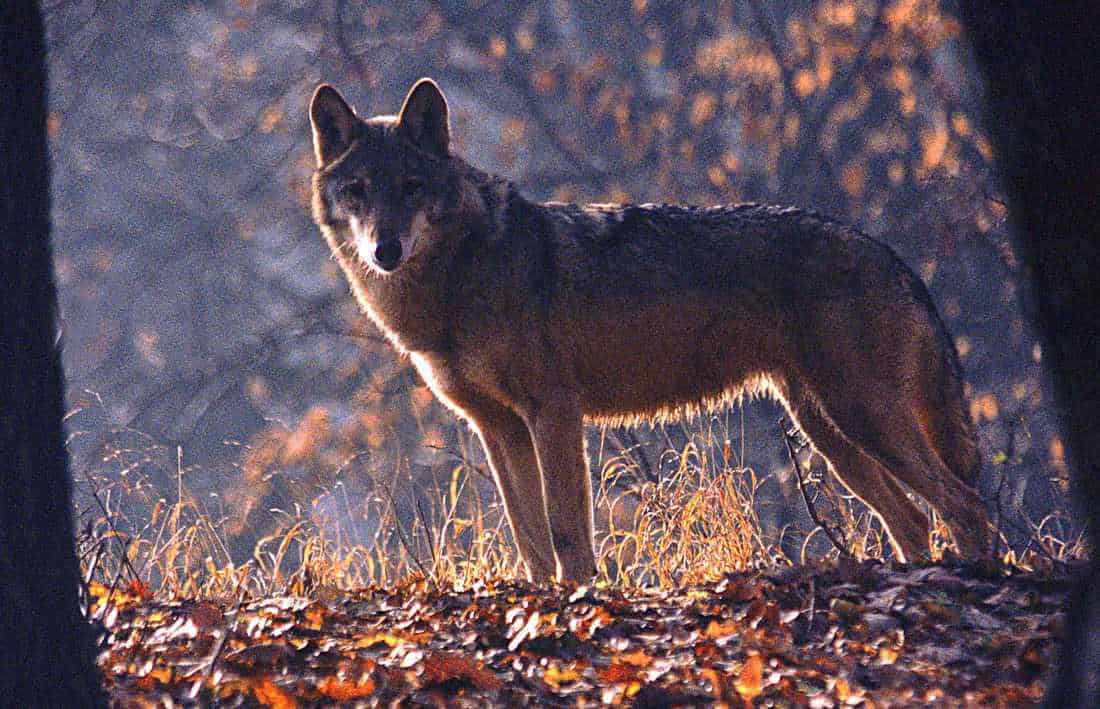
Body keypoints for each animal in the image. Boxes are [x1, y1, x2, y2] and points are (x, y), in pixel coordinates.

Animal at [307, 78, 992, 582]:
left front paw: (579, 601)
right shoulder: (497, 427)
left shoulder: (553, 412)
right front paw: (541, 601)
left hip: (860, 418)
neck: (460, 278)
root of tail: (887, 249)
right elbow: (530, 540)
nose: (386, 250)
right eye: (358, 190)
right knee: (915, 521)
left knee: (963, 502)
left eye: (411, 187)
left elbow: (566, 531)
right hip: (831, 433)